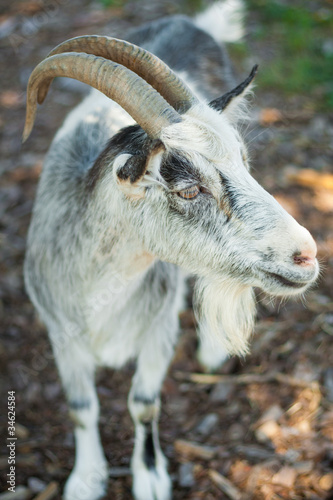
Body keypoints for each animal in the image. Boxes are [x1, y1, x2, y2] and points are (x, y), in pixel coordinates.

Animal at [22, 0, 318, 500]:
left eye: (245, 164)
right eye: (187, 190)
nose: (306, 254)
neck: (100, 293)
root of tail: (190, 23)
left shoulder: (158, 330)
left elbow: (143, 404)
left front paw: (150, 477)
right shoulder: (61, 334)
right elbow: (82, 407)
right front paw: (85, 478)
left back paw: (214, 350)